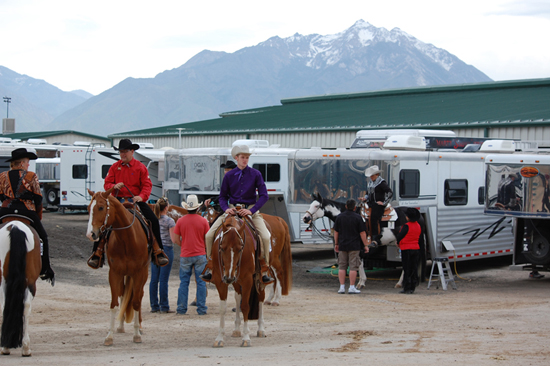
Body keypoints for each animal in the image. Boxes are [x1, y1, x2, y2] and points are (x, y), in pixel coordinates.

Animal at [87, 189, 151, 346]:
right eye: (88, 208)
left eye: (101, 207)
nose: (91, 234)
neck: (127, 239)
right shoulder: (114, 273)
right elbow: (114, 303)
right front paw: (109, 336)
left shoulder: (139, 272)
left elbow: (136, 302)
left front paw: (136, 335)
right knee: (123, 295)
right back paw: (121, 326)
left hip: (143, 274)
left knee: (139, 296)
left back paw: (140, 327)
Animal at [213, 216, 268, 348]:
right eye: (222, 248)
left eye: (240, 248)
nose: (229, 278)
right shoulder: (219, 279)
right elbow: (223, 308)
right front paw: (220, 338)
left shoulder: (248, 279)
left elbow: (245, 306)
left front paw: (246, 338)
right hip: (236, 281)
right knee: (238, 297)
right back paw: (237, 329)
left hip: (258, 280)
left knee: (260, 298)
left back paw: (261, 329)